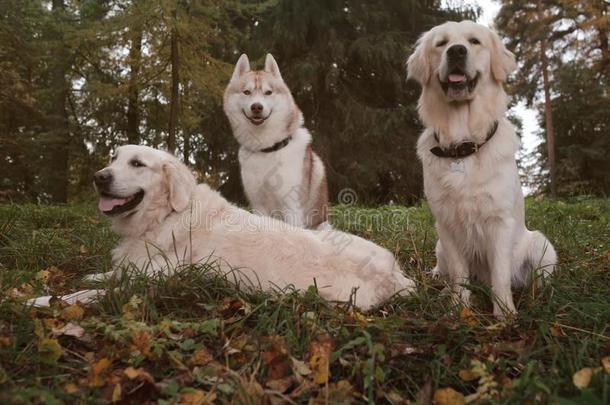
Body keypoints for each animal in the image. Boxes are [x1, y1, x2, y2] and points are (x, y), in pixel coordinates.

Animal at [85, 145, 414, 310]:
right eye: (114, 157)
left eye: (137, 164)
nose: (98, 177)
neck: (164, 215)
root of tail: (396, 273)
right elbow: (111, 273)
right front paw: (94, 274)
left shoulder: (156, 280)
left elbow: (100, 292)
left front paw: (73, 296)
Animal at [222, 54, 328, 230]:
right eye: (246, 92)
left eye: (268, 92)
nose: (256, 107)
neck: (266, 149)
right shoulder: (258, 205)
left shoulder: (292, 207)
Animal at [406, 21, 552, 318]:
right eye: (441, 43)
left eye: (474, 41)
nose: (456, 51)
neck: (463, 145)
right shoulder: (446, 224)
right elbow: (459, 273)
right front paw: (459, 308)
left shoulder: (499, 221)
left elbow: (499, 274)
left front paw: (504, 314)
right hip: (440, 246)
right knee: (446, 272)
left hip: (542, 245)